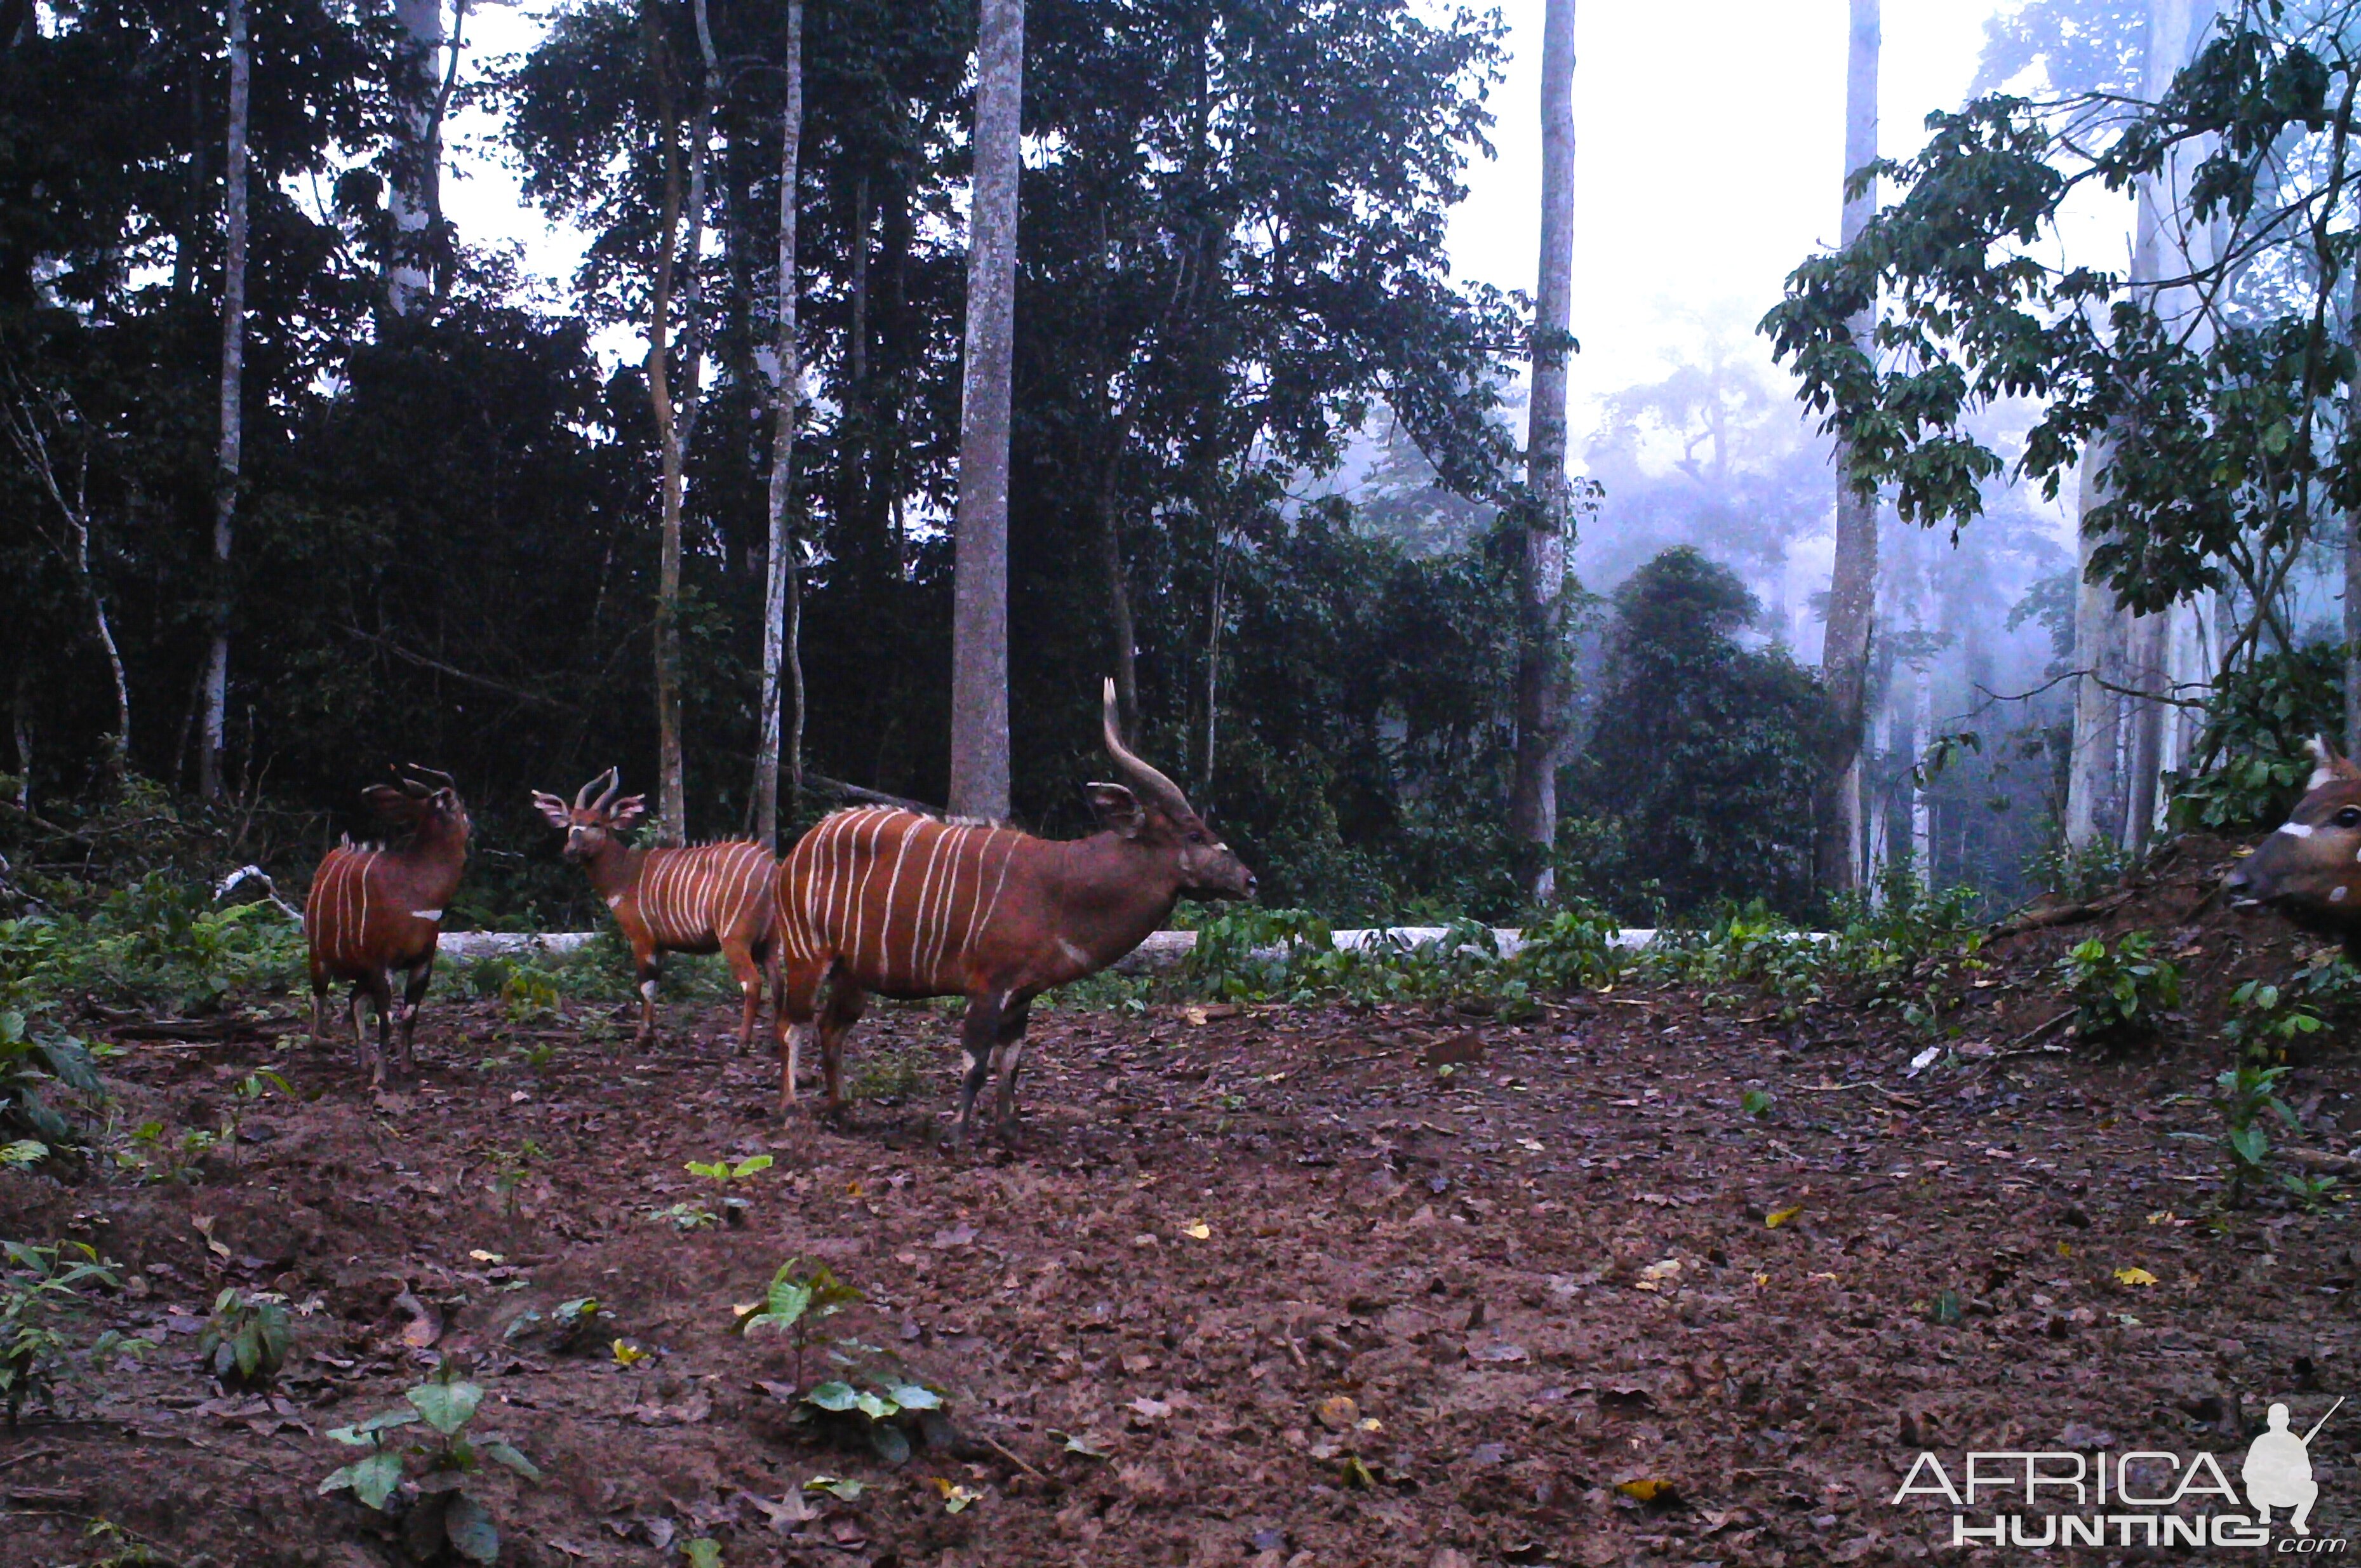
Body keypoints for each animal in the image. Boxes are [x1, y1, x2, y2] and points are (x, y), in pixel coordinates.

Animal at [304, 765, 469, 1086]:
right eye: (458, 805)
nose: (472, 824)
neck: (417, 890)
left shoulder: (421, 962)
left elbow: (409, 1015)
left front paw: (405, 1067)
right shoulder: (382, 965)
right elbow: (386, 1019)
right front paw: (381, 1076)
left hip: (360, 971)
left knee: (354, 999)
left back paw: (363, 1060)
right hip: (319, 957)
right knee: (320, 999)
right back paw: (323, 1046)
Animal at [531, 765, 779, 1048]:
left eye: (596, 823)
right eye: (571, 822)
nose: (570, 850)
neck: (626, 874)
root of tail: (772, 869)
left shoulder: (642, 938)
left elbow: (646, 986)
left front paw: (642, 1038)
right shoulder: (661, 944)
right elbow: (656, 984)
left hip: (734, 939)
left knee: (753, 983)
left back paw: (741, 1045)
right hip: (769, 942)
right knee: (778, 983)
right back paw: (775, 1043)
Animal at [774, 680, 1255, 1148]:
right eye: (1194, 835)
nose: (1249, 880)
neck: (1059, 885)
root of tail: (800, 847)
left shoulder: (1023, 994)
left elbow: (1010, 1063)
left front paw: (1009, 1133)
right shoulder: (988, 986)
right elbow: (975, 1062)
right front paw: (956, 1137)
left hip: (853, 972)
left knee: (831, 1028)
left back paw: (842, 1111)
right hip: (806, 954)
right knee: (791, 1024)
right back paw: (792, 1110)